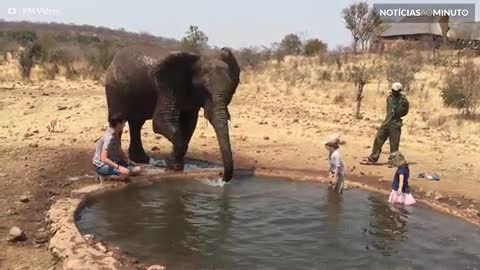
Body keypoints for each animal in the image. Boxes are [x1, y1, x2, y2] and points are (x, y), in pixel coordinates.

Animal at [105, 45, 240, 182]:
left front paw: (174, 166)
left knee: (136, 123)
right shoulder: (167, 86)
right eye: (203, 90)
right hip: (114, 87)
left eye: (230, 92)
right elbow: (161, 121)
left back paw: (141, 160)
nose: (222, 178)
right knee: (117, 120)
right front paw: (171, 166)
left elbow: (189, 125)